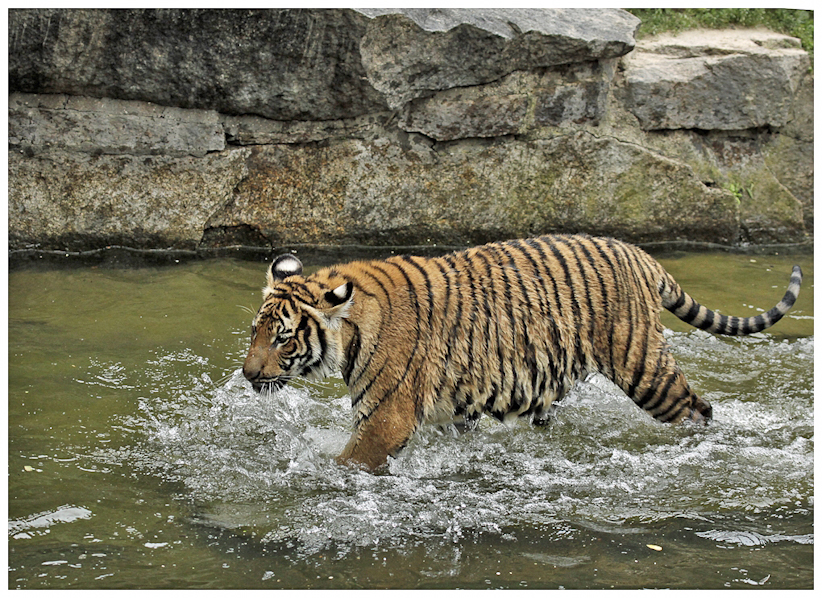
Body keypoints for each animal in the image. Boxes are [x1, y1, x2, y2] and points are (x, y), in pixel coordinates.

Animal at [242, 234, 803, 471]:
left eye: (284, 338)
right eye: (255, 332)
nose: (247, 376)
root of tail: (639, 253)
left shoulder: (385, 417)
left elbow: (349, 462)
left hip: (644, 367)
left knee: (697, 409)